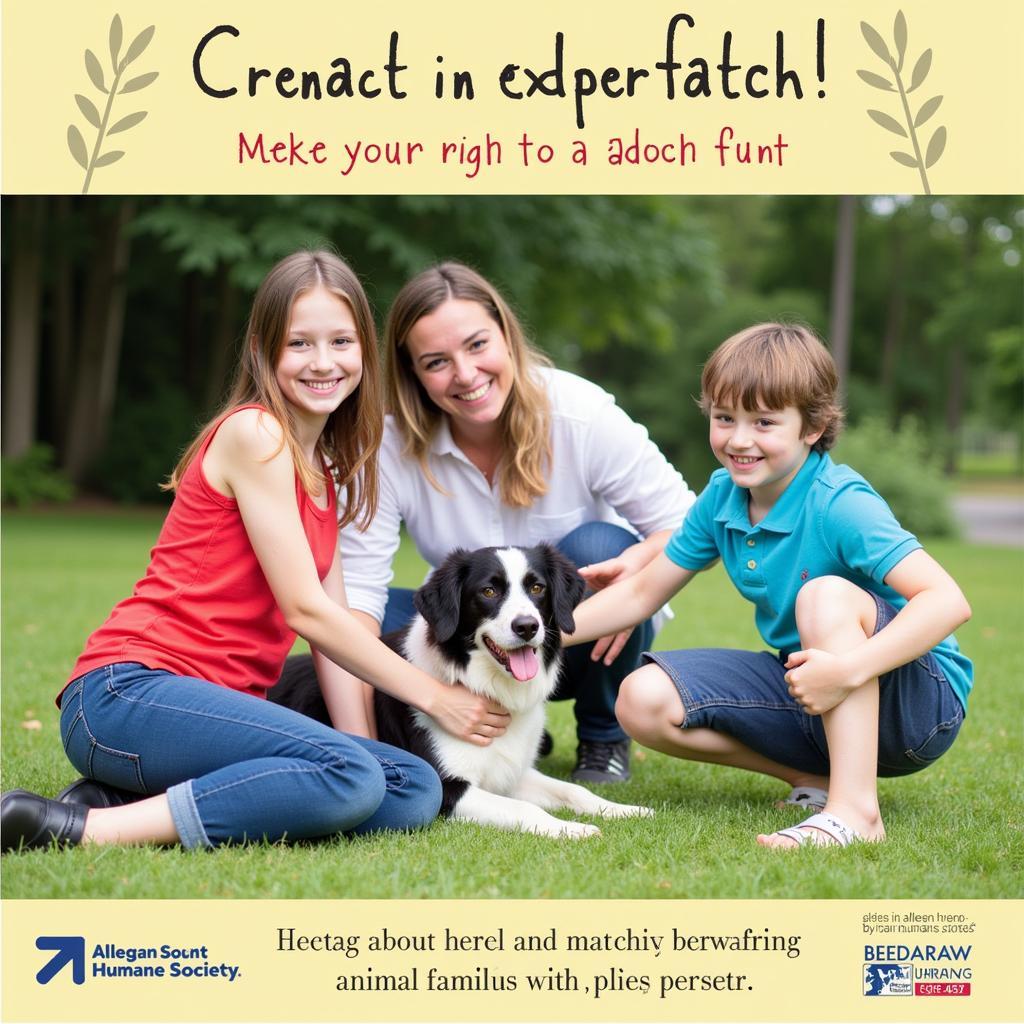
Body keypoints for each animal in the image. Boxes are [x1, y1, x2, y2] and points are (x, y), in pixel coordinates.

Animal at [268, 548, 651, 835]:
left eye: (537, 588)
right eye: (488, 591)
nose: (527, 626)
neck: (483, 684)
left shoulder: (512, 773)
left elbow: (574, 790)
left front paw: (623, 809)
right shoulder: (448, 786)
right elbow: (523, 809)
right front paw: (570, 829)